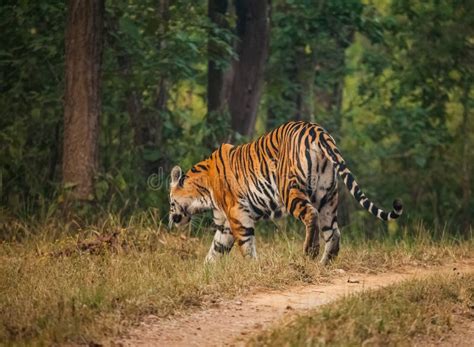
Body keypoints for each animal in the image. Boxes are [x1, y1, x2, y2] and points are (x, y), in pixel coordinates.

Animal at [168, 121, 402, 266]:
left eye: (170, 203)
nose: (171, 221)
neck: (203, 192)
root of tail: (317, 130)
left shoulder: (237, 214)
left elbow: (246, 245)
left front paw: (254, 267)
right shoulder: (225, 223)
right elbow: (216, 249)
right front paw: (204, 271)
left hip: (289, 190)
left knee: (311, 215)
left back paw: (310, 251)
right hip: (327, 195)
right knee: (333, 232)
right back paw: (325, 263)